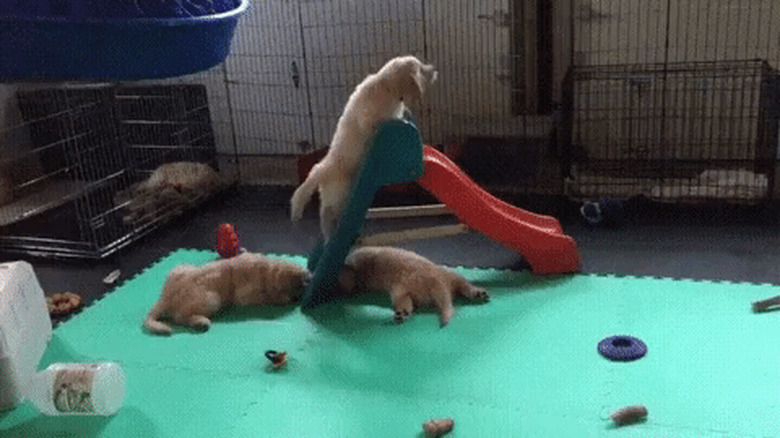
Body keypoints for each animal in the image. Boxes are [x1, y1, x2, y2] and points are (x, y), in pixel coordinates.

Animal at [145, 252, 310, 334]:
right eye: (298, 288)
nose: (300, 296)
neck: (267, 270)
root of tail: (165, 298)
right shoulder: (248, 295)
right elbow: (270, 297)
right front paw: (284, 298)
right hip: (212, 299)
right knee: (180, 318)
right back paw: (201, 322)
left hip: (179, 268)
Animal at [290, 55, 438, 240]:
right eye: (421, 68)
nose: (434, 69)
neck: (386, 86)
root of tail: (322, 169)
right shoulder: (369, 119)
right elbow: (380, 122)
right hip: (340, 193)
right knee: (330, 213)